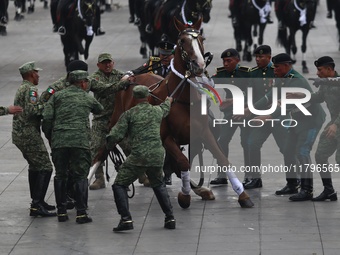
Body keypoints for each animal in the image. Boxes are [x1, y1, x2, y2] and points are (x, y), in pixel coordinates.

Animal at [91, 17, 254, 209]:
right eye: (182, 41)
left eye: (201, 39)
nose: (199, 65)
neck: (182, 97)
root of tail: (128, 79)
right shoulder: (166, 137)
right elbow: (183, 163)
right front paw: (184, 195)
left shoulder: (203, 133)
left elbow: (221, 159)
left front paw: (242, 195)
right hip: (116, 121)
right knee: (104, 147)